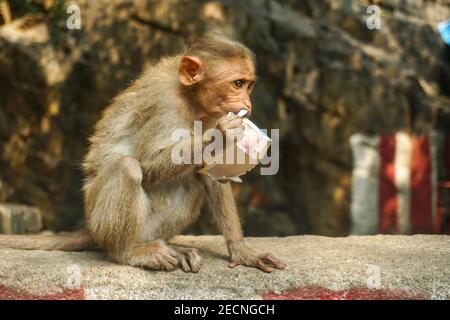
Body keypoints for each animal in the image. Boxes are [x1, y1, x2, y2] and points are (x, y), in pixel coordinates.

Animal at [0, 33, 284, 274]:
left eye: (248, 85)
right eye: (237, 84)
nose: (247, 104)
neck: (189, 96)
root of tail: (90, 228)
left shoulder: (212, 112)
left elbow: (212, 175)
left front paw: (241, 249)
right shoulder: (165, 103)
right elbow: (148, 164)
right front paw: (220, 136)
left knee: (193, 180)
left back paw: (170, 247)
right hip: (100, 221)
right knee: (128, 167)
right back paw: (127, 252)